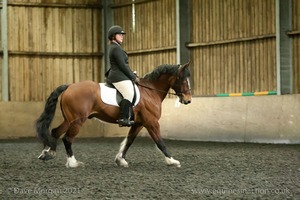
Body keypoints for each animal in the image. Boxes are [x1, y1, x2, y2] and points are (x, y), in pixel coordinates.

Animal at [36, 61, 192, 168]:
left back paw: (47, 153)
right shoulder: (151, 122)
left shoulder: (138, 123)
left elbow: (129, 141)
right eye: (183, 80)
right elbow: (159, 142)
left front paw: (120, 160)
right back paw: (73, 162)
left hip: (69, 119)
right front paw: (172, 161)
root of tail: (69, 86)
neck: (150, 91)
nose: (188, 100)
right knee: (67, 138)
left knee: (55, 132)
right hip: (77, 120)